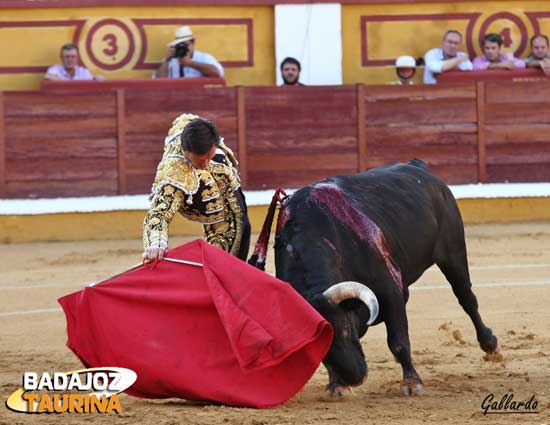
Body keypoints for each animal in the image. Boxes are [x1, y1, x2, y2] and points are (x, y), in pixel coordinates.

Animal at [250, 161, 500, 396]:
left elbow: (398, 340)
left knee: (467, 298)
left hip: (452, 252)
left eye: (344, 329)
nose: (355, 378)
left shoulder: (390, 290)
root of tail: (418, 167)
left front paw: (412, 384)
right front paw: (336, 386)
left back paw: (490, 344)